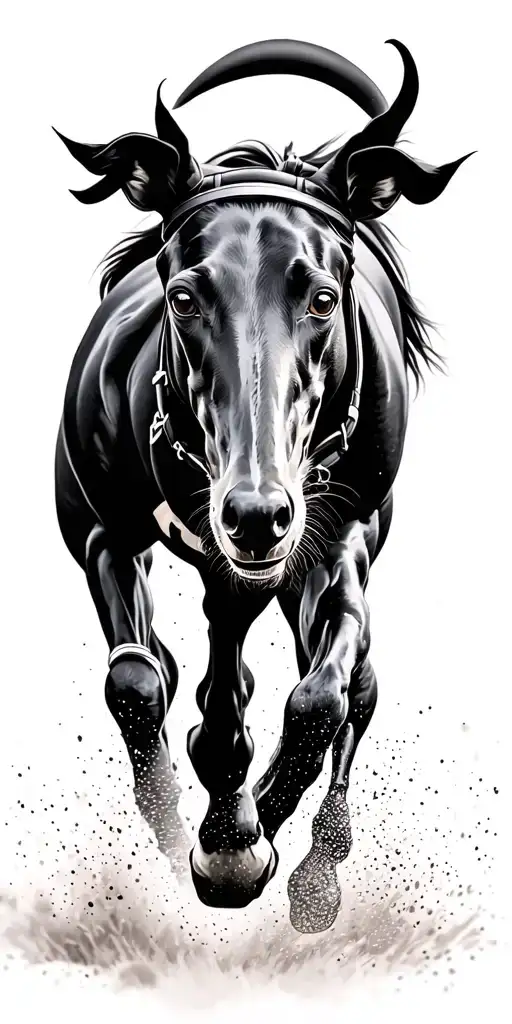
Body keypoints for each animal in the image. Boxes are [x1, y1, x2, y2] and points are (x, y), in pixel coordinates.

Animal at [54, 38, 471, 934]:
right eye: (183, 295)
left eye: (322, 296)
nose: (256, 515)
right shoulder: (106, 534)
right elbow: (137, 679)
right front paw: (188, 829)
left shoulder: (336, 544)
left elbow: (323, 700)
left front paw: (242, 843)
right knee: (198, 667)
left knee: (351, 685)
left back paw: (316, 868)